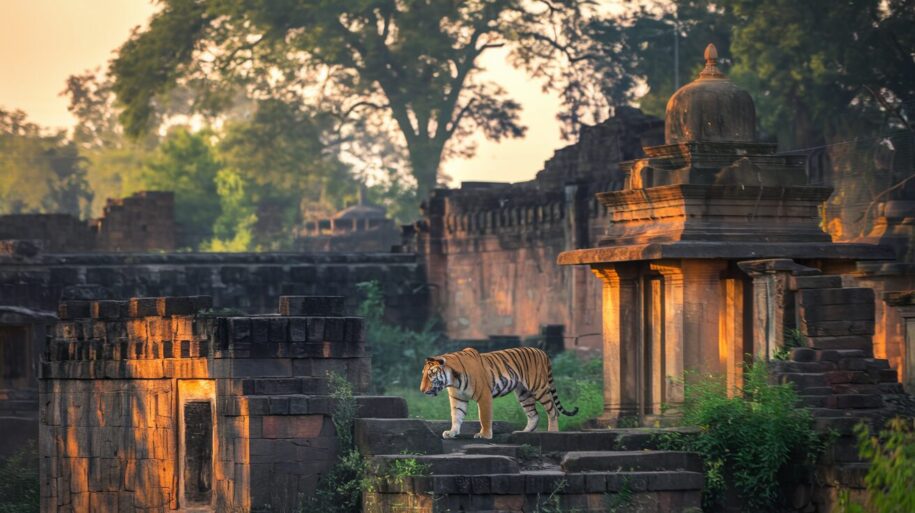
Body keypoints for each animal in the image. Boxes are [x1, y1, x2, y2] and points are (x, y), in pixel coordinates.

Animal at [419, 346, 578, 440]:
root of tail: (542, 352)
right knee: (534, 414)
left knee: (553, 411)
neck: (453, 379)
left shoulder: (484, 396)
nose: (421, 390)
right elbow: (456, 416)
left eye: (430, 375)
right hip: (524, 393)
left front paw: (484, 435)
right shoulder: (458, 398)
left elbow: (484, 417)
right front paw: (452, 432)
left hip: (539, 388)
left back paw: (552, 431)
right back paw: (523, 432)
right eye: (423, 375)